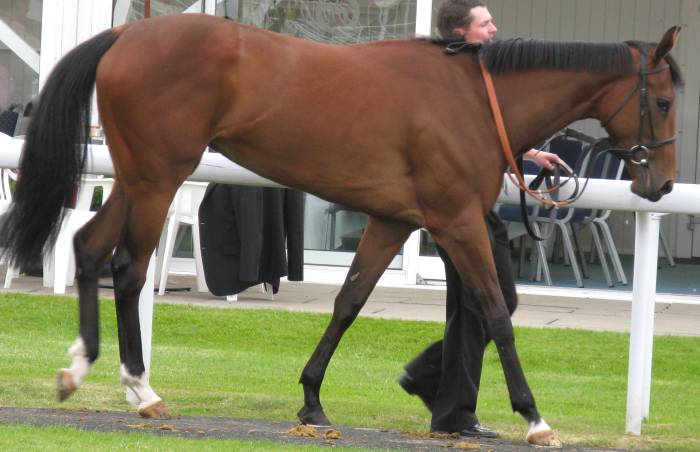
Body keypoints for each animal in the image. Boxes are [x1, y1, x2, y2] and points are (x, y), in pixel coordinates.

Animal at [0, 14, 681, 446]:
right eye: (666, 101)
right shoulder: (458, 220)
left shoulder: (393, 220)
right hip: (158, 176)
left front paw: (312, 398)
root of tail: (125, 33)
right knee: (128, 267)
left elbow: (348, 303)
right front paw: (535, 418)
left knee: (89, 248)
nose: (662, 186)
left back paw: (80, 370)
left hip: (140, 175)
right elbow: (495, 314)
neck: (470, 100)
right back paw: (141, 390)